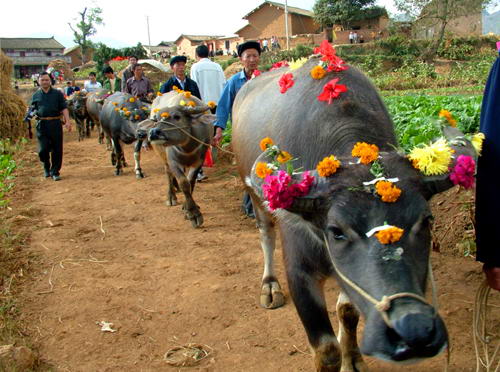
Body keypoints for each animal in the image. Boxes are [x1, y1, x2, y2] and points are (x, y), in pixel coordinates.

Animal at [141, 91, 213, 228]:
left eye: (177, 116)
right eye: (157, 119)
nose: (153, 132)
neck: (187, 147)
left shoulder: (199, 162)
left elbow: (191, 181)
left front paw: (187, 208)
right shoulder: (173, 162)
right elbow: (184, 183)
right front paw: (193, 214)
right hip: (163, 156)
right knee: (168, 173)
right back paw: (171, 196)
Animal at [232, 56, 478, 370]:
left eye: (427, 220)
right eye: (336, 231)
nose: (413, 329)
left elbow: (347, 310)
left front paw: (353, 359)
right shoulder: (299, 269)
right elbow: (326, 350)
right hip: (253, 195)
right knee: (266, 235)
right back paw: (269, 287)